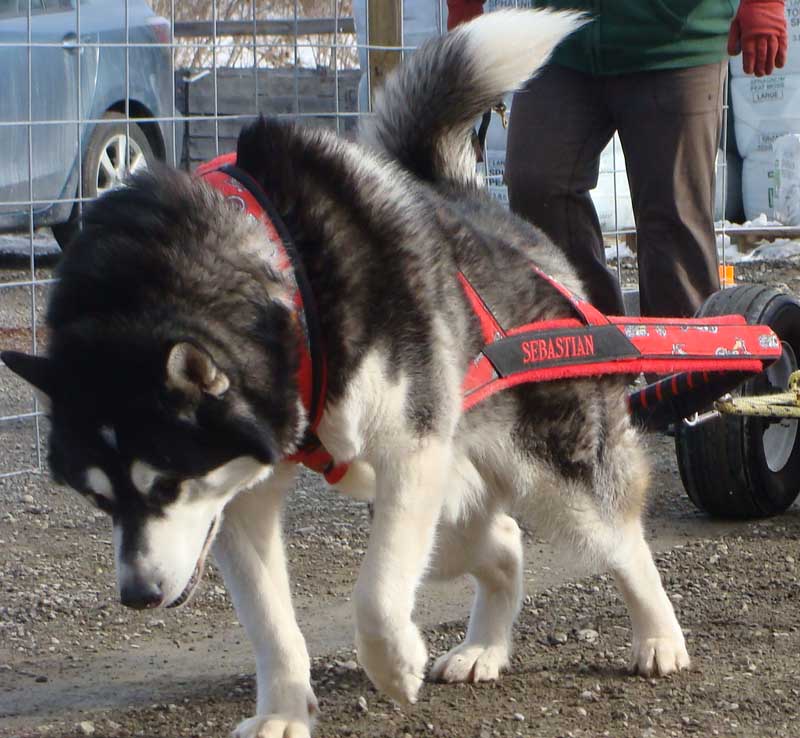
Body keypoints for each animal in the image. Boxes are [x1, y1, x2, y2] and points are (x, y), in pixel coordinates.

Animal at [0, 8, 692, 732]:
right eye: (98, 499)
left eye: (163, 485)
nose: (137, 594)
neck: (282, 275)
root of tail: (477, 204)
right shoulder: (238, 497)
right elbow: (272, 624)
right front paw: (282, 711)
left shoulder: (408, 452)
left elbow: (378, 595)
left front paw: (393, 664)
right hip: (441, 488)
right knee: (499, 539)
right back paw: (485, 647)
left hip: (547, 470)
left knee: (619, 538)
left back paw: (658, 637)